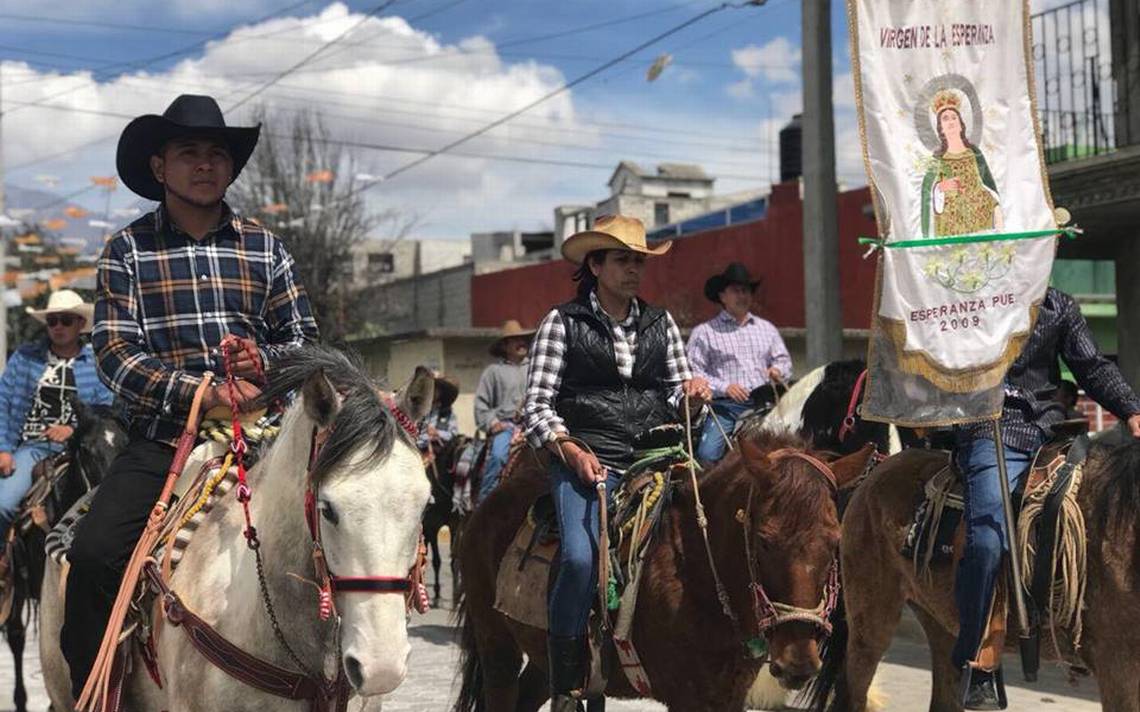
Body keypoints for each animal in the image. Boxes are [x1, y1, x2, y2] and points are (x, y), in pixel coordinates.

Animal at [421, 432, 469, 606]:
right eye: (460, 455)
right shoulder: (432, 526)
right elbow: (437, 561)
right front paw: (436, 596)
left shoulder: (454, 525)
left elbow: (454, 561)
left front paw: (455, 596)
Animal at [446, 430, 870, 706]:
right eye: (764, 540)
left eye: (834, 541)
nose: (798, 662)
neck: (697, 573)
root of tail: (486, 504)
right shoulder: (685, 697)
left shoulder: (727, 696)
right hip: (495, 645)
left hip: (542, 657)